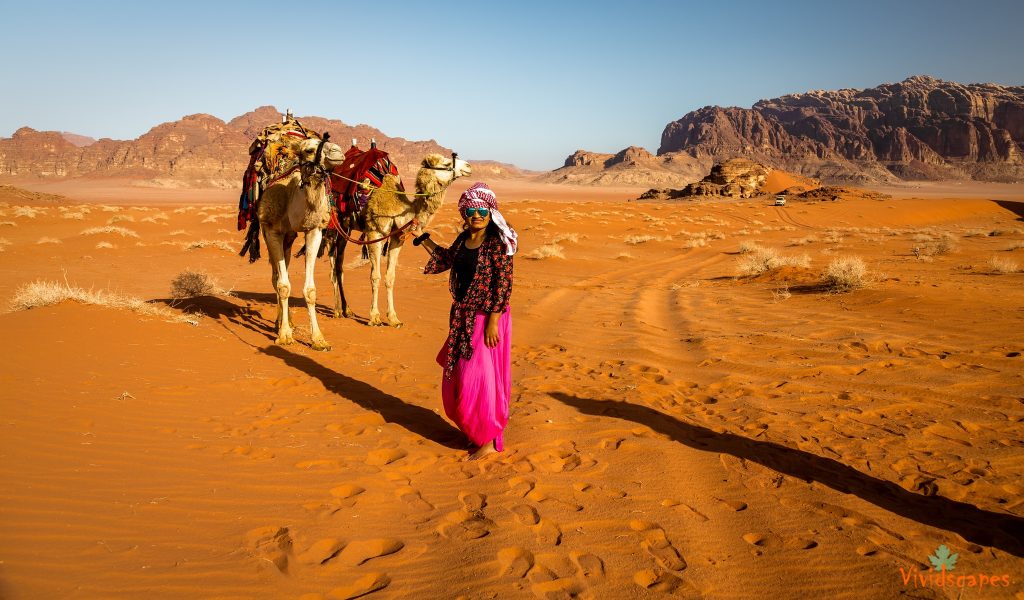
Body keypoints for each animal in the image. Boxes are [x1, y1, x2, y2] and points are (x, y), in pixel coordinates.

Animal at [258, 134, 350, 350]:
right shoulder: (273, 231)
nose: (338, 152)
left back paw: (285, 322)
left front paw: (318, 339)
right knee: (276, 278)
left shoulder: (313, 230)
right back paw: (282, 324)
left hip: (289, 238)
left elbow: (310, 289)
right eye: (308, 150)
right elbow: (283, 285)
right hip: (268, 234)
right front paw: (284, 336)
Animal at [327, 151, 471, 325]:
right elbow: (375, 276)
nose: (468, 166)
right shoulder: (375, 233)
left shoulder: (397, 238)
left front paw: (393, 318)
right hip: (331, 224)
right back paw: (336, 310)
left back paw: (346, 309)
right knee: (332, 264)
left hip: (345, 228)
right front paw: (374, 317)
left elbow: (390, 277)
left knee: (339, 265)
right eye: (446, 163)